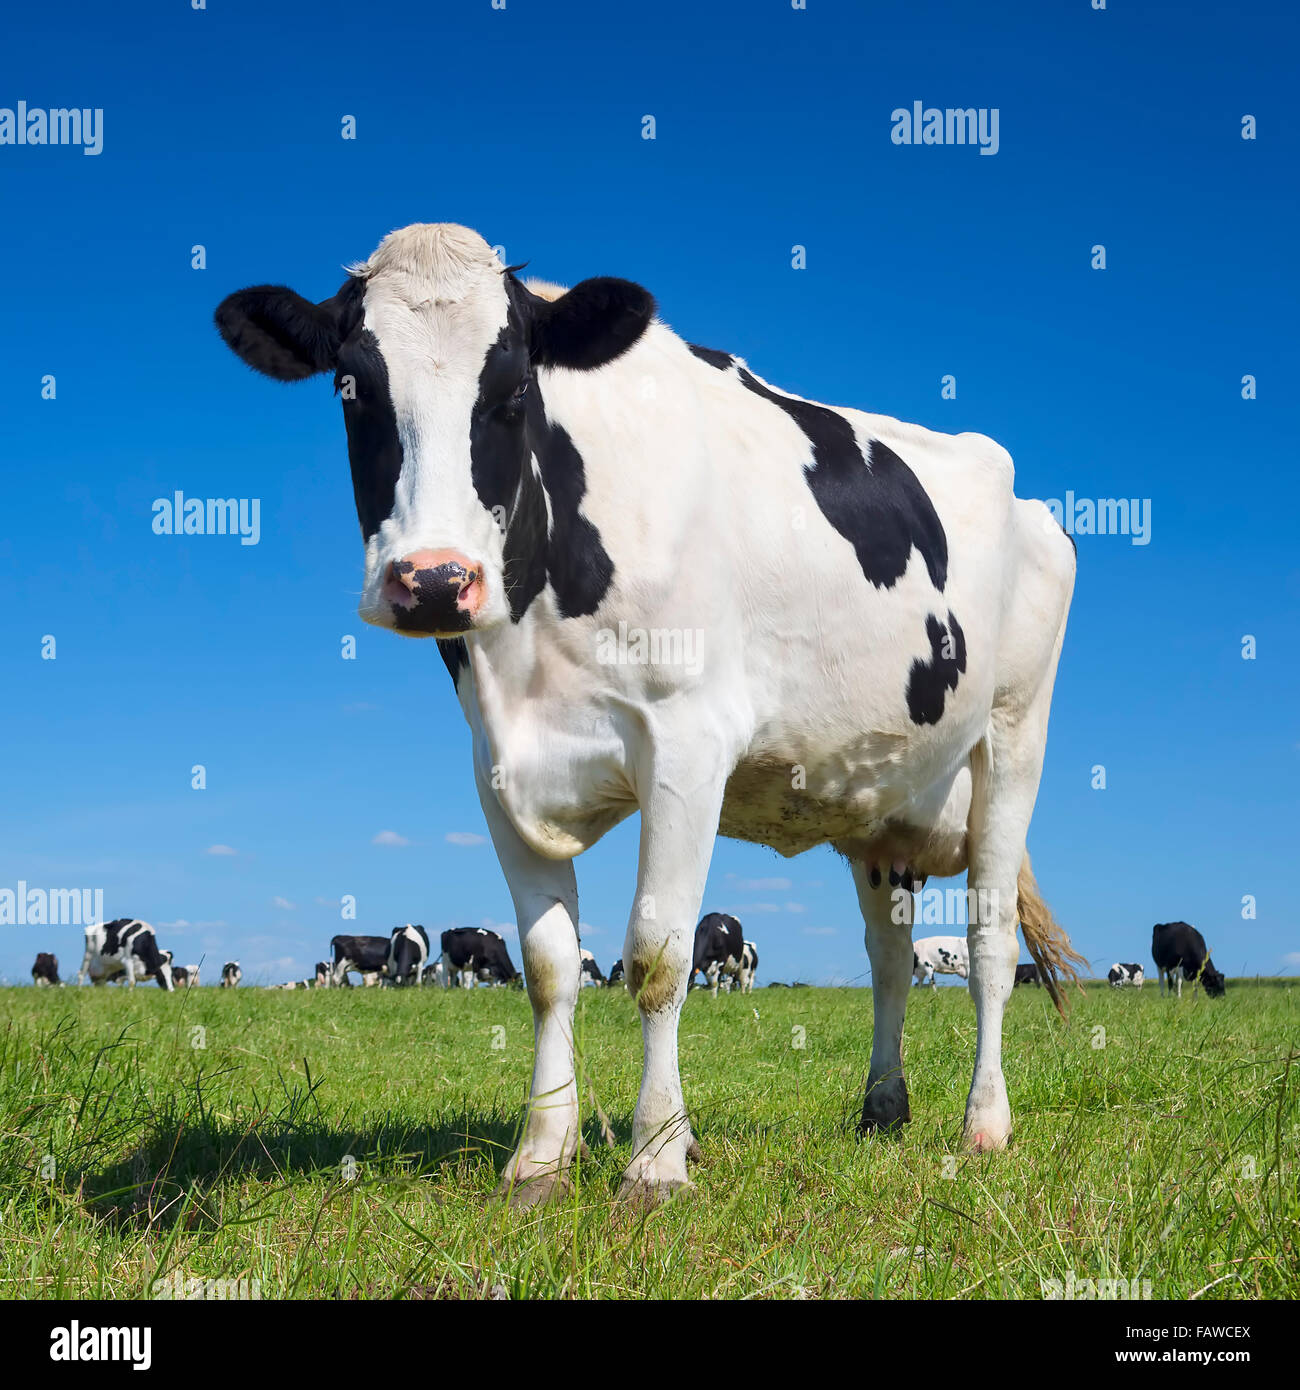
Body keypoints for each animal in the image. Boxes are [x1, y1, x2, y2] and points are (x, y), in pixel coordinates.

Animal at [214, 221, 1081, 1204]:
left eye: (515, 390)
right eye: (351, 387)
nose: (433, 580)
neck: (527, 653)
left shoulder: (687, 743)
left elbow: (658, 956)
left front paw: (658, 1158)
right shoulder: (493, 767)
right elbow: (551, 967)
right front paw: (541, 1156)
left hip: (1013, 738)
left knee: (990, 943)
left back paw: (985, 1124)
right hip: (881, 806)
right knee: (890, 958)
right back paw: (882, 1110)